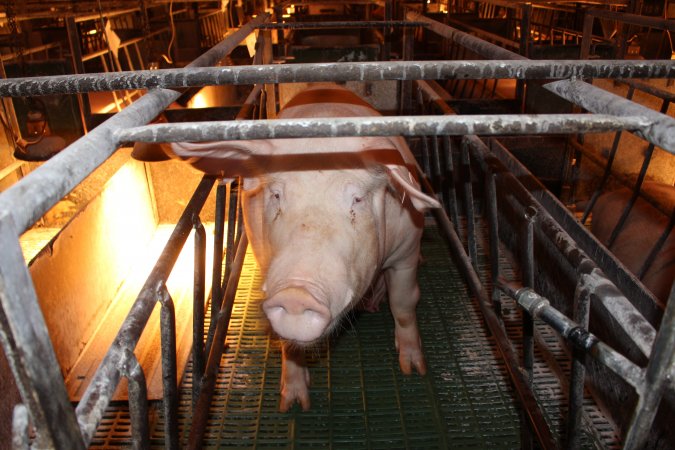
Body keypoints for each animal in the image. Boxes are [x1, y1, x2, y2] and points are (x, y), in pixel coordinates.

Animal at [136, 85, 444, 412]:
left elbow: (404, 304)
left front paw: (414, 369)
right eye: (276, 195)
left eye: (357, 200)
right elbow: (287, 344)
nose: (296, 294)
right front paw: (294, 404)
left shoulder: (406, 248)